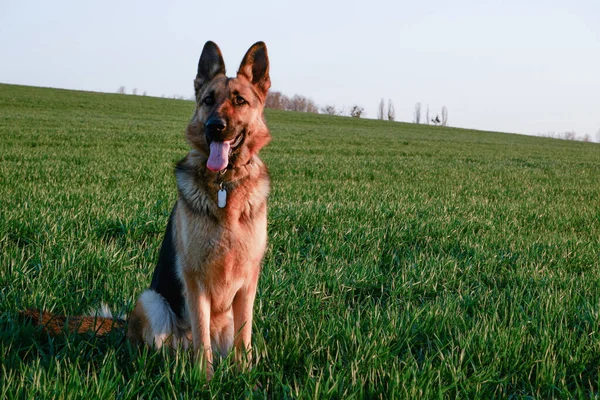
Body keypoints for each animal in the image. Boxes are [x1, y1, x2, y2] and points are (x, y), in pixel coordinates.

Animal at [21, 42, 272, 380]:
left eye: (239, 101)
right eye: (208, 100)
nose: (214, 127)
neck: (224, 186)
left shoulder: (247, 283)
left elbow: (244, 339)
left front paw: (244, 376)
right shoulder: (195, 279)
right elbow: (202, 335)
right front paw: (203, 380)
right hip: (151, 300)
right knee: (161, 350)